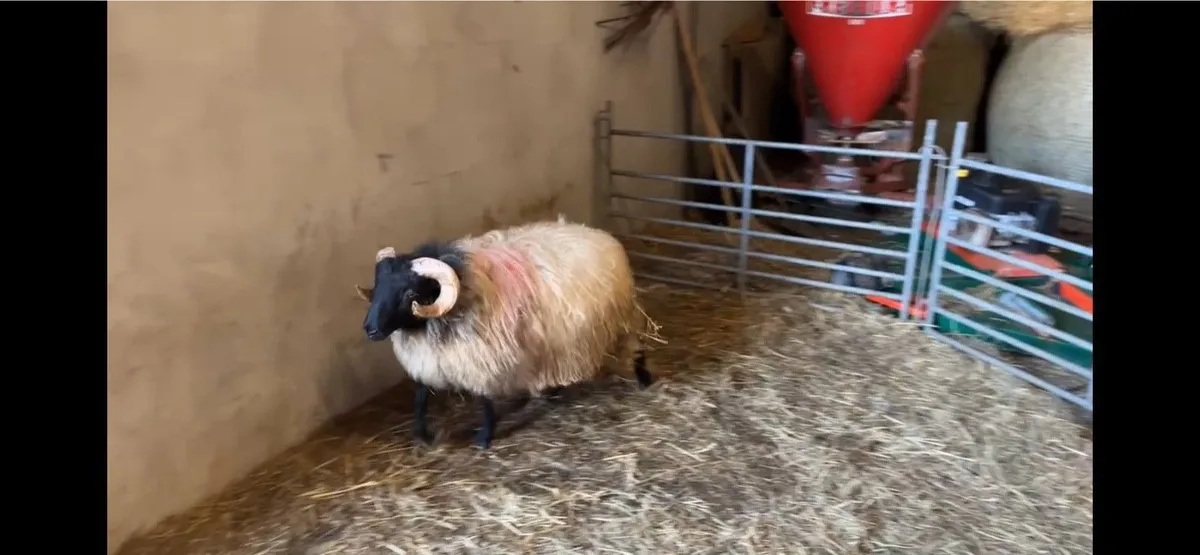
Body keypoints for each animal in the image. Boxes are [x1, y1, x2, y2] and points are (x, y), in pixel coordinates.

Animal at [354, 217, 657, 448]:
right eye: (377, 287)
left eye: (409, 294)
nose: (370, 329)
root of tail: (602, 236)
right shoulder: (434, 359)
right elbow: (419, 397)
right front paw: (423, 435)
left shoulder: (484, 358)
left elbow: (486, 402)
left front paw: (484, 439)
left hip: (622, 319)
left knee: (637, 346)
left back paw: (644, 379)